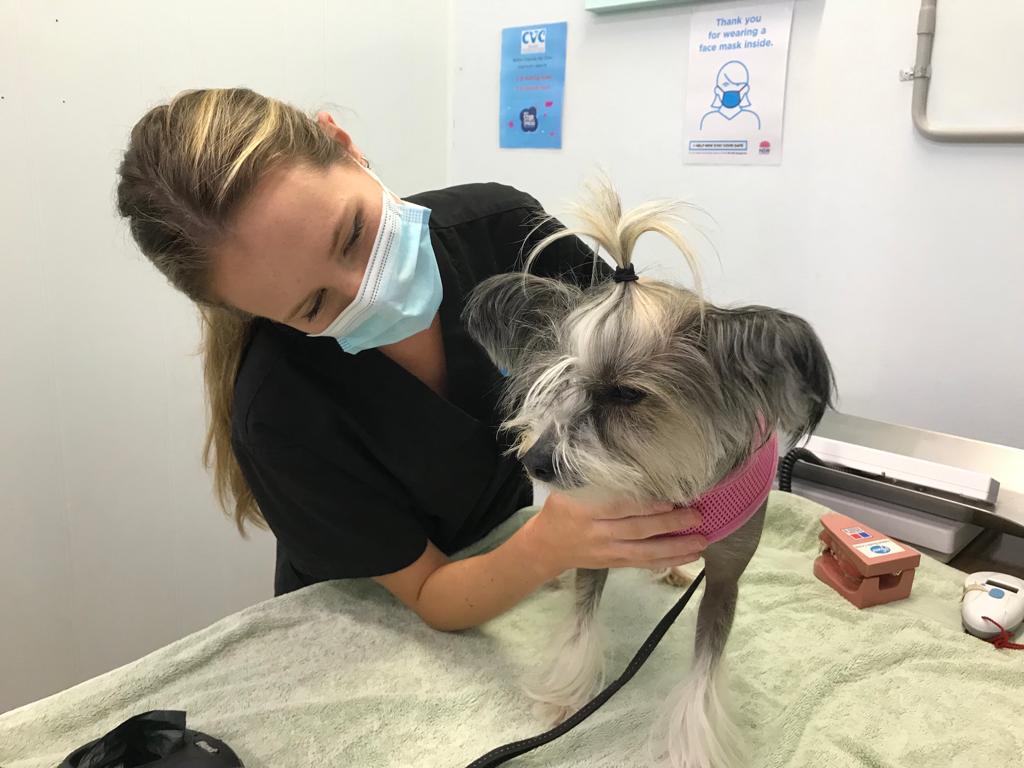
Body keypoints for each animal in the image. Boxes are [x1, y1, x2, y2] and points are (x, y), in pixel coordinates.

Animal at [462, 177, 831, 765]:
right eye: (557, 381)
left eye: (626, 394)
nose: (534, 462)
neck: (662, 476)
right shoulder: (591, 534)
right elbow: (580, 623)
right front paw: (567, 695)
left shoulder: (726, 576)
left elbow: (705, 670)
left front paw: (692, 747)